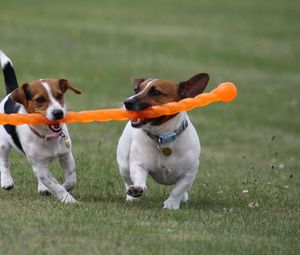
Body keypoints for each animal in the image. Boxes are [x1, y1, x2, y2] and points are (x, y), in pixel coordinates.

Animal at [0, 51, 81, 203]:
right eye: (39, 100)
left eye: (59, 96)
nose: (58, 113)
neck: (47, 135)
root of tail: (10, 94)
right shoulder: (40, 167)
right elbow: (54, 184)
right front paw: (68, 199)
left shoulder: (66, 156)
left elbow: (71, 180)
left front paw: (59, 189)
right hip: (3, 144)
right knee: (4, 162)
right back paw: (6, 181)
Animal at [116, 72, 209, 209]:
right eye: (137, 90)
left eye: (155, 92)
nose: (127, 102)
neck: (162, 137)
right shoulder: (139, 165)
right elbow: (138, 177)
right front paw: (137, 188)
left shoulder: (189, 174)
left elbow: (178, 190)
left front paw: (171, 204)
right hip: (124, 164)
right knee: (127, 180)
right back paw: (131, 197)